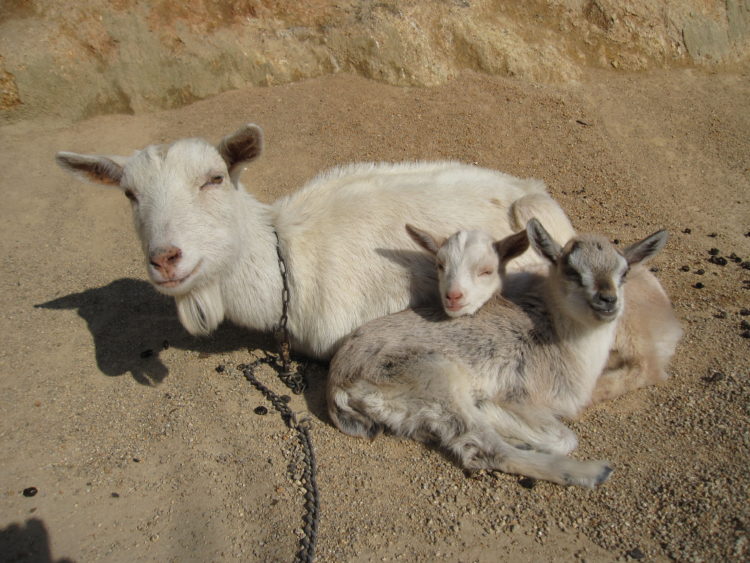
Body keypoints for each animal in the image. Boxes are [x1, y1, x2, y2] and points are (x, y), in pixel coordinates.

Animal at [328, 220, 668, 490]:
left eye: (624, 272)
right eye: (571, 270)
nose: (608, 300)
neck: (561, 341)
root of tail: (338, 382)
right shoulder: (525, 398)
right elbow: (565, 438)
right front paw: (493, 410)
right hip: (436, 378)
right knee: (484, 449)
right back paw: (591, 471)